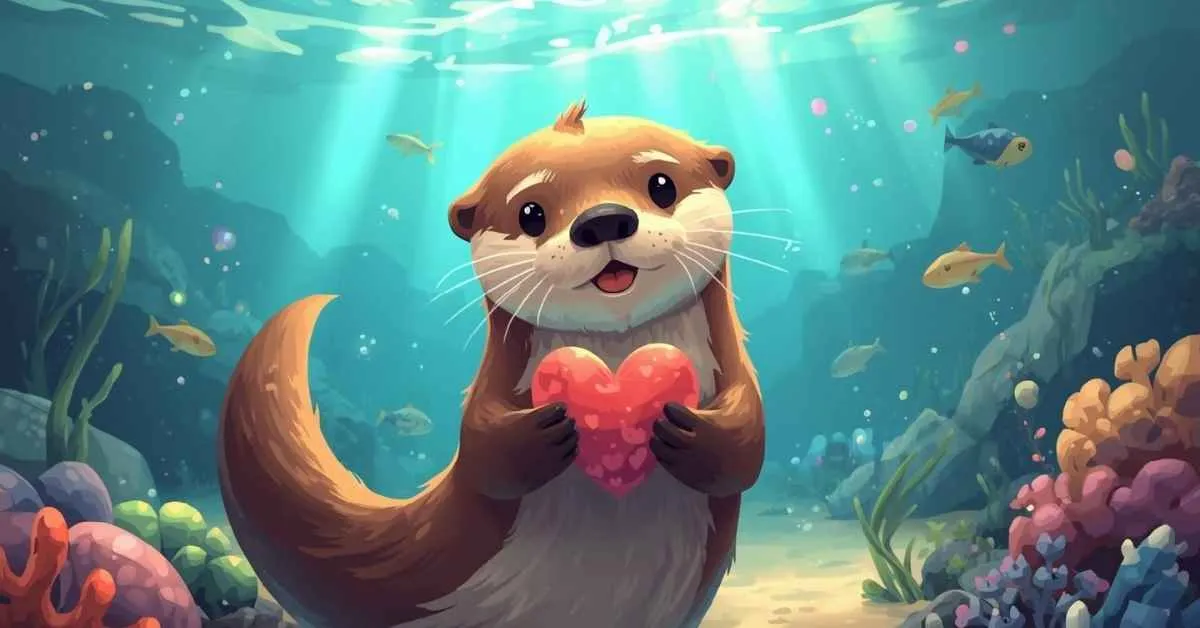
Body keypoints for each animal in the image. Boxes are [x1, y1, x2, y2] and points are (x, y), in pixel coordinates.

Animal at [218, 100, 765, 628]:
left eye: (661, 185)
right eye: (530, 213)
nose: (603, 219)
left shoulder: (736, 374)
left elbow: (748, 439)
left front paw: (690, 434)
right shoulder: (492, 393)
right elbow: (482, 452)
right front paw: (542, 433)